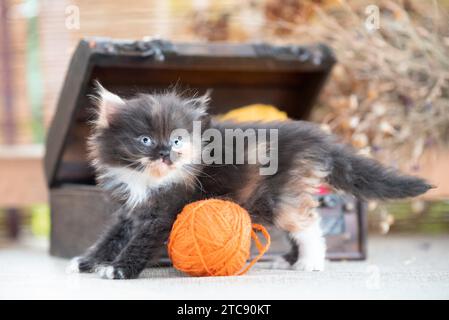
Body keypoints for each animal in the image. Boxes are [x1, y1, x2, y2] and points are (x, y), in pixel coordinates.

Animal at [68, 83, 432, 280]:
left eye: (177, 140)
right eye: (145, 140)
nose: (167, 155)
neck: (148, 179)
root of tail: (315, 138)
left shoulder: (163, 212)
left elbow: (139, 241)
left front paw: (119, 270)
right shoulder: (130, 210)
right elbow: (112, 236)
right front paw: (87, 261)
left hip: (284, 195)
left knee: (309, 227)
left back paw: (310, 262)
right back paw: (291, 259)